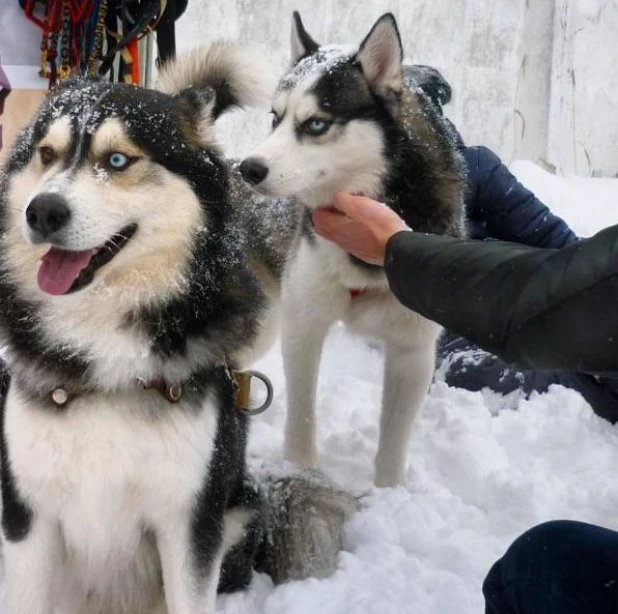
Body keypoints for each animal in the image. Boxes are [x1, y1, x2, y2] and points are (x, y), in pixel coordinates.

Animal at [0, 43, 354, 614]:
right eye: (47, 155)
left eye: (117, 159)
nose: (42, 211)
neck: (109, 349)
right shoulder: (26, 515)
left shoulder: (190, 521)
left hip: (237, 511)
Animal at [241, 12, 462, 488]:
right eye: (275, 117)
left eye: (316, 124)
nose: (248, 168)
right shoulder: (304, 323)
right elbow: (302, 417)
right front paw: (302, 471)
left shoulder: (413, 351)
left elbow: (393, 443)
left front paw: (389, 494)